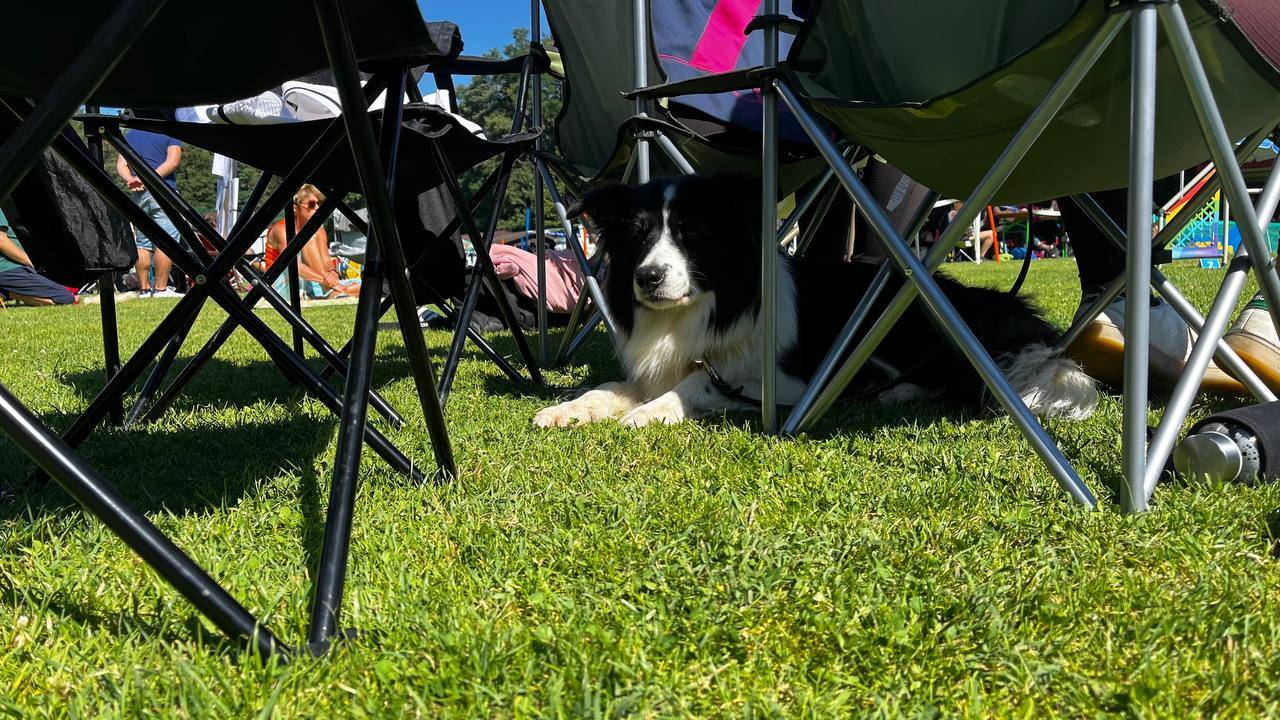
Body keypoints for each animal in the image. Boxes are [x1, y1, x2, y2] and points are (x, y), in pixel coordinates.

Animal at [533, 175, 1097, 429]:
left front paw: (648, 413)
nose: (647, 278)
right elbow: (613, 385)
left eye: (693, 234)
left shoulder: (788, 380)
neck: (708, 308)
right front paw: (568, 409)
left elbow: (696, 384)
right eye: (639, 237)